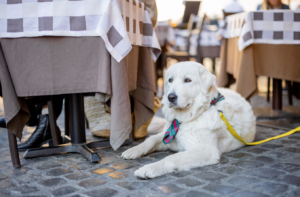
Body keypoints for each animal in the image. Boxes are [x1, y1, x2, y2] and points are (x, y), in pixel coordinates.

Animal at [122, 61, 255, 179]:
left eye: (187, 80)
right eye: (170, 80)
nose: (171, 97)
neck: (185, 120)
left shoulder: (206, 150)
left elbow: (172, 158)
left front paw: (149, 168)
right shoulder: (167, 135)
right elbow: (150, 140)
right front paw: (134, 150)